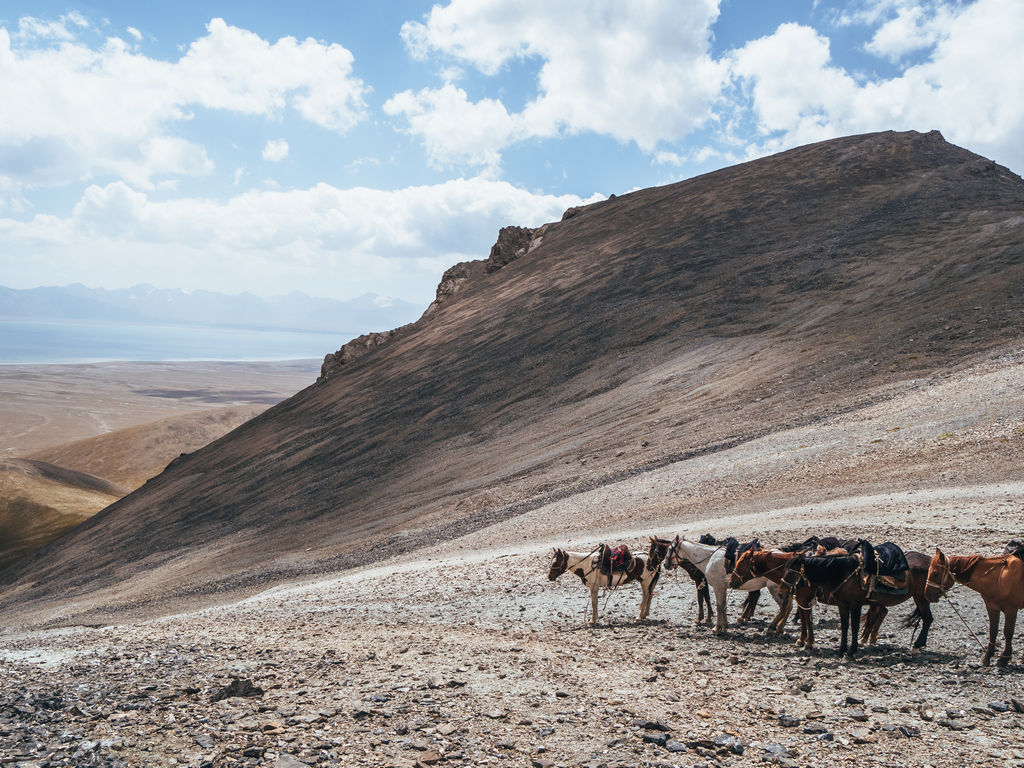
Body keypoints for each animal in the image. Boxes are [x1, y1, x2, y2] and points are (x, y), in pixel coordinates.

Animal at [779, 541, 934, 657]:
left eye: (791, 572)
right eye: (785, 569)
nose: (781, 591)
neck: (842, 573)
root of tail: (929, 561)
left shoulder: (854, 604)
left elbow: (852, 625)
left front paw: (850, 650)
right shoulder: (840, 603)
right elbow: (843, 625)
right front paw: (841, 649)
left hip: (920, 597)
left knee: (927, 619)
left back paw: (916, 646)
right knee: (882, 613)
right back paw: (867, 638)